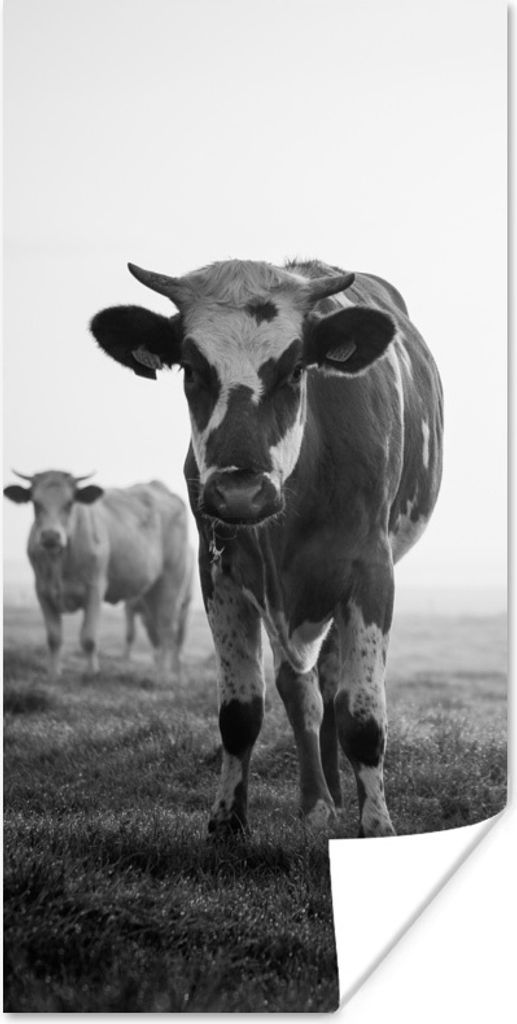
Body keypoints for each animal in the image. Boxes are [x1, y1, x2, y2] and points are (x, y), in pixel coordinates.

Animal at [4, 472, 193, 682]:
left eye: (69, 503)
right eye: (36, 503)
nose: (51, 536)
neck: (60, 560)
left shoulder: (94, 589)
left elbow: (89, 637)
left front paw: (91, 672)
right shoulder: (42, 591)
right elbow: (54, 638)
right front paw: (53, 673)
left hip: (171, 585)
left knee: (169, 630)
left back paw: (164, 675)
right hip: (151, 594)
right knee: (158, 632)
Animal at [90, 258, 443, 837]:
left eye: (297, 370)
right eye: (191, 369)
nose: (240, 492)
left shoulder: (372, 572)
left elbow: (363, 715)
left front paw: (376, 826)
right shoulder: (220, 572)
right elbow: (242, 712)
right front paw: (227, 822)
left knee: (332, 689)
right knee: (304, 691)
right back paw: (319, 801)